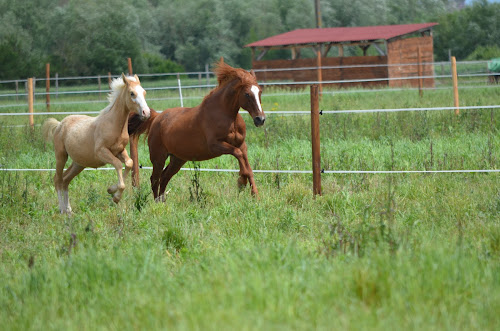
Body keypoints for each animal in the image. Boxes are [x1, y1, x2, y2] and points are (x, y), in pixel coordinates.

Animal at [43, 73, 150, 214]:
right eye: (132, 93)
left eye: (144, 92)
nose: (146, 113)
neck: (113, 124)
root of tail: (59, 124)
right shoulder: (101, 152)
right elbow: (118, 164)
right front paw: (115, 196)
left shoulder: (120, 151)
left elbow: (129, 163)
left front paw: (111, 190)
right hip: (61, 156)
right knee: (58, 180)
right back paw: (62, 210)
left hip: (79, 163)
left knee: (65, 180)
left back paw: (69, 211)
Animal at [128, 58, 266, 201]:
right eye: (247, 94)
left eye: (260, 92)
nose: (260, 119)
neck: (227, 116)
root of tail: (156, 117)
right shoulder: (215, 146)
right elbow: (238, 155)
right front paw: (241, 182)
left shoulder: (241, 144)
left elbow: (248, 167)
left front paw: (255, 195)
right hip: (158, 157)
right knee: (154, 179)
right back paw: (157, 203)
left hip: (178, 159)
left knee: (164, 176)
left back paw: (162, 201)